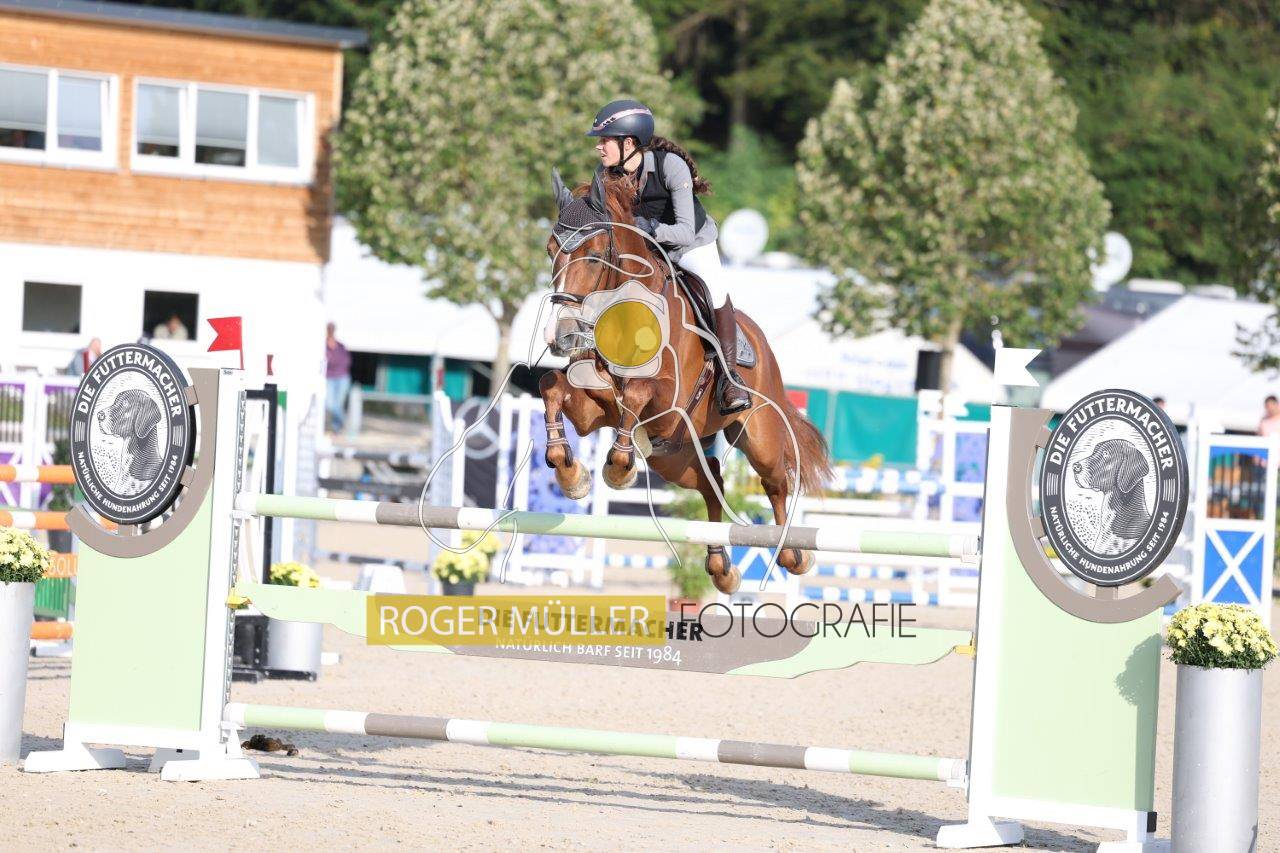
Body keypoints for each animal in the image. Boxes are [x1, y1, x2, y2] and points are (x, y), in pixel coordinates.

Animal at [538, 170, 832, 594]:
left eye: (594, 253)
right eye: (550, 250)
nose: (560, 336)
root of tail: (759, 339)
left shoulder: (667, 404)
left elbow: (637, 393)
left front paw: (618, 470)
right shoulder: (594, 408)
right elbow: (551, 386)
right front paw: (570, 474)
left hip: (757, 438)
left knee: (775, 482)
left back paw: (792, 553)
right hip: (673, 458)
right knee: (713, 481)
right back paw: (722, 568)